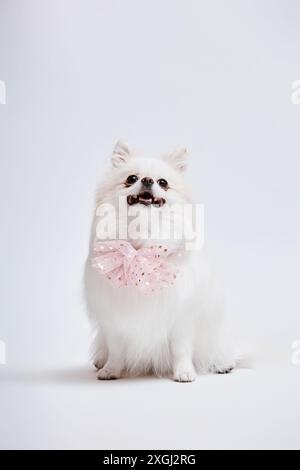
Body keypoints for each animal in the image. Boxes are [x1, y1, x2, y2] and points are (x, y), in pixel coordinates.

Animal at [84, 140, 237, 382]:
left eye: (163, 182)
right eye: (131, 178)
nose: (147, 180)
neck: (141, 236)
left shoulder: (181, 317)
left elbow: (181, 349)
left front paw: (184, 372)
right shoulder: (113, 319)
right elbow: (116, 349)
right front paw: (111, 370)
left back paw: (222, 364)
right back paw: (100, 362)